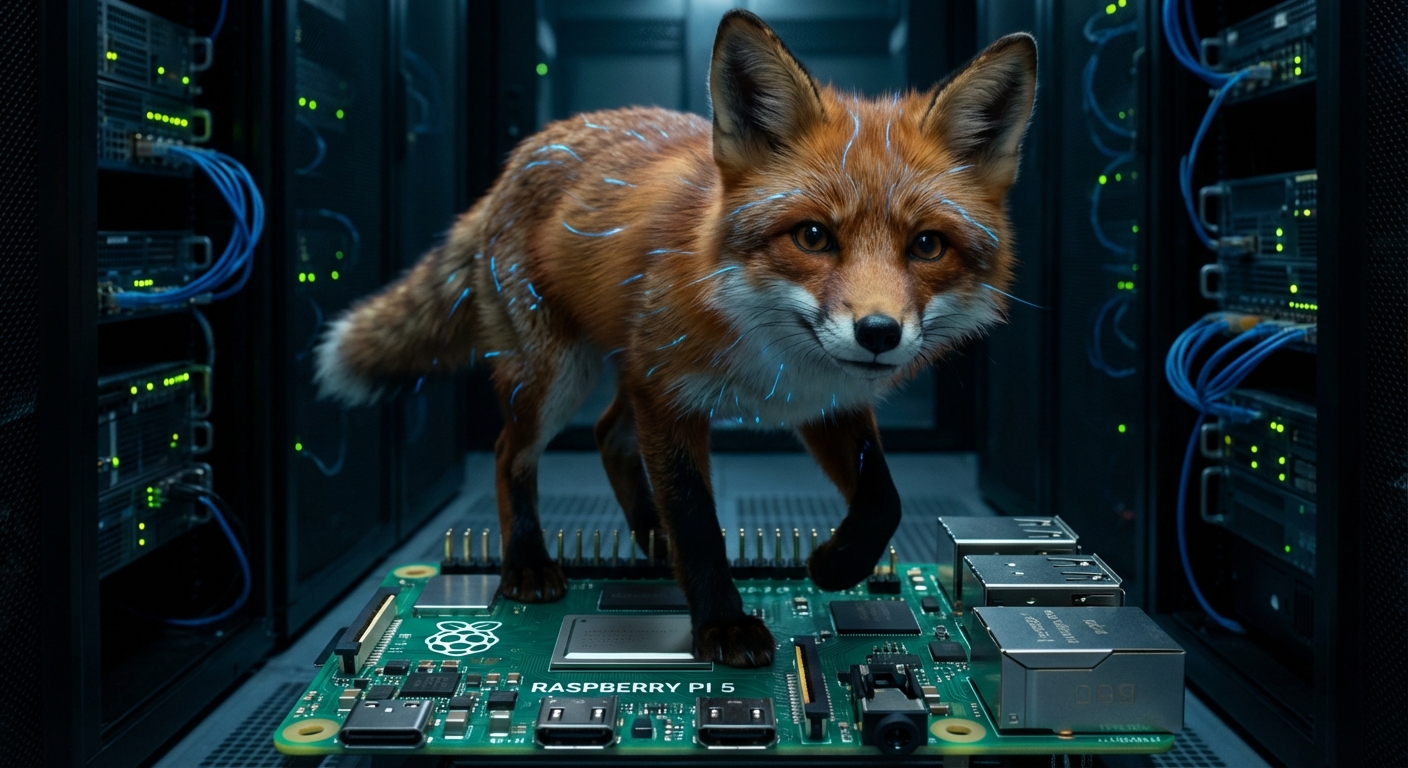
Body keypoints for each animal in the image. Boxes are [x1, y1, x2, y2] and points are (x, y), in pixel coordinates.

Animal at [315, 10, 1036, 668]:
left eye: (927, 246)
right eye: (812, 236)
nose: (879, 333)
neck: (765, 346)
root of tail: (516, 160)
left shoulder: (821, 400)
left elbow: (884, 498)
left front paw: (837, 564)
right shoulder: (671, 395)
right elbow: (698, 522)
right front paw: (721, 623)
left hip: (619, 374)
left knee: (608, 434)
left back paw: (647, 537)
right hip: (556, 377)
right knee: (508, 454)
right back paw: (527, 562)